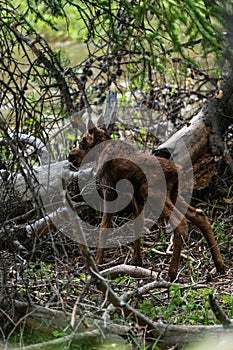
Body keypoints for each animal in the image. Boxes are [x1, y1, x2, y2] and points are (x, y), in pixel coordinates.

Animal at [68, 121, 225, 280]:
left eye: (83, 143)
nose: (70, 156)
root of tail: (175, 171)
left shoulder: (110, 192)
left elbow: (104, 227)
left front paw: (98, 263)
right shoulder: (135, 197)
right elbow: (137, 225)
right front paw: (136, 262)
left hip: (154, 194)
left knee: (180, 223)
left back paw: (171, 272)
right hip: (172, 194)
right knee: (199, 215)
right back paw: (220, 266)